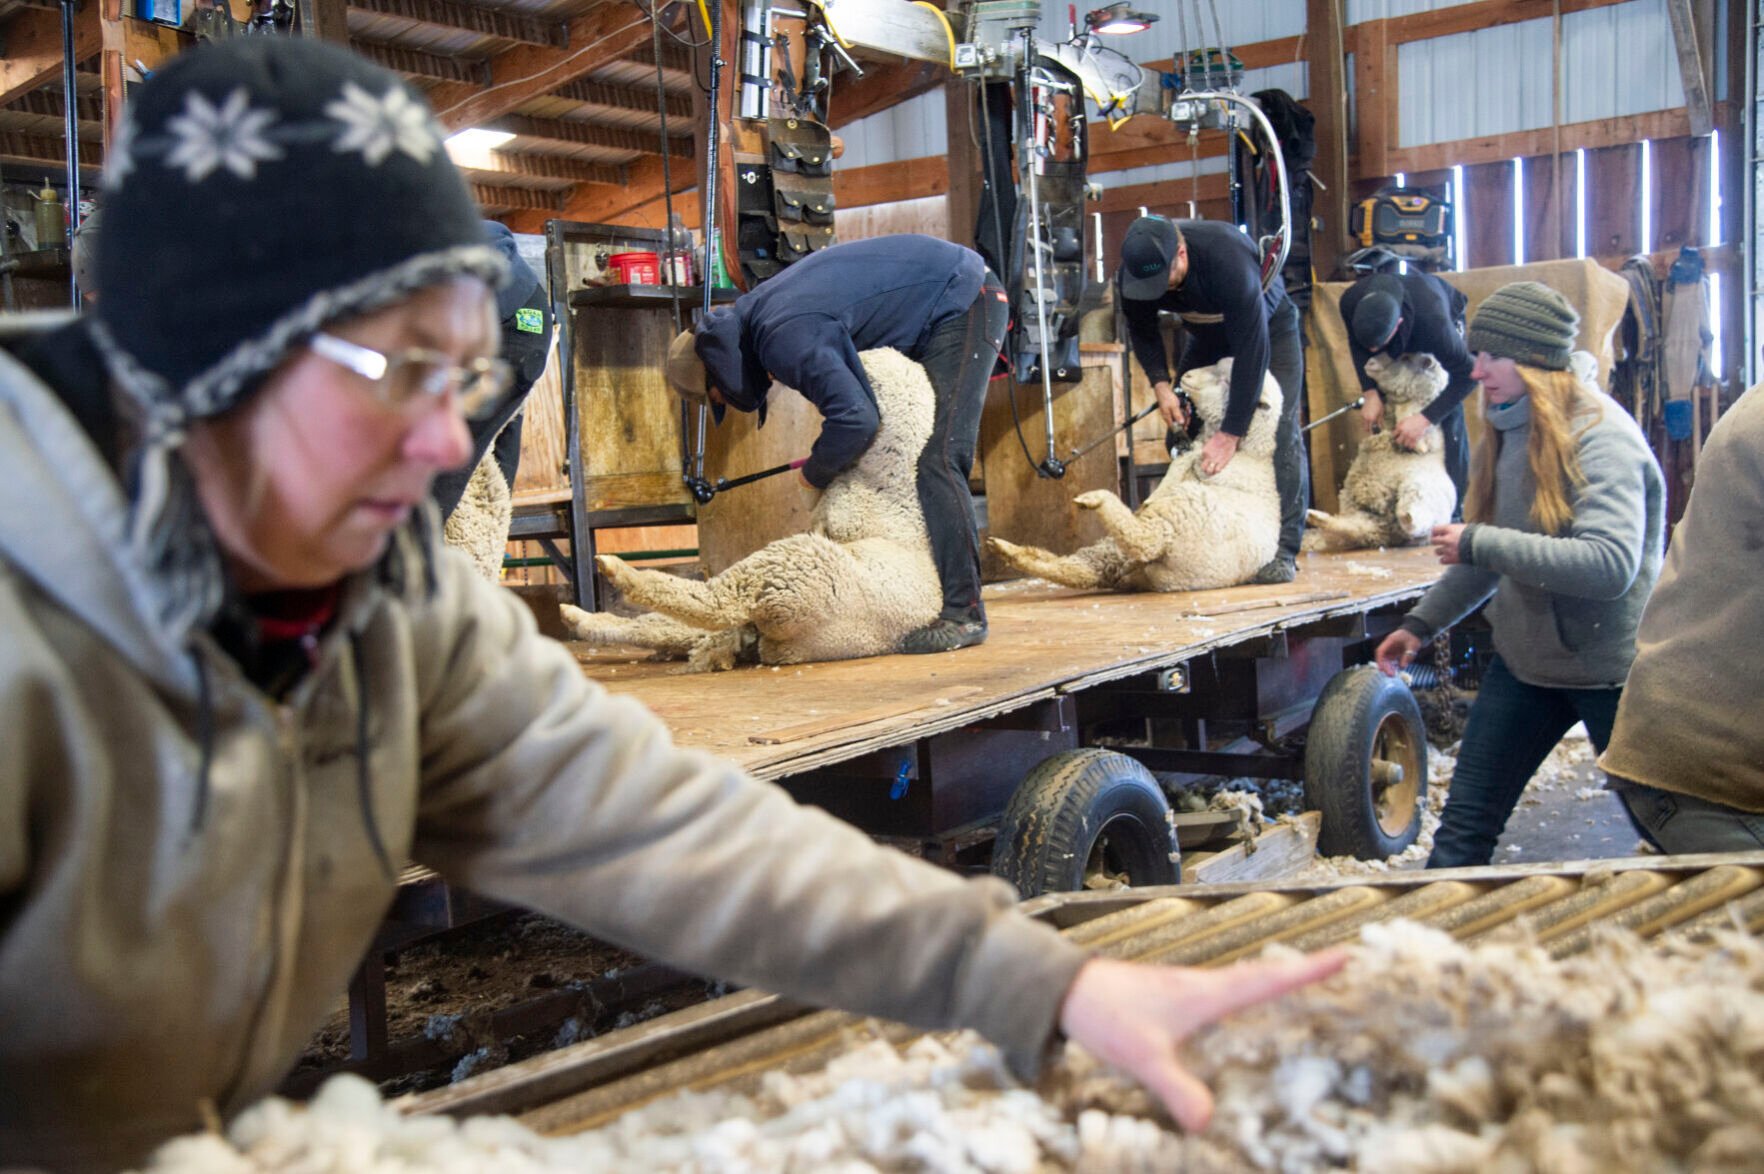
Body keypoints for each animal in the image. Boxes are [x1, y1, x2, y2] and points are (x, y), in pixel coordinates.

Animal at [557, 345, 945, 666]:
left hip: (796, 572)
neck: (895, 459)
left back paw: (617, 574)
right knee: (663, 628)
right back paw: (581, 617)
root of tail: (783, 643)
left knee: (713, 603)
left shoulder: (848, 510)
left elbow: (830, 517)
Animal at [987, 354, 1277, 595]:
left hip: (1180, 516)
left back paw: (1097, 499)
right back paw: (1007, 550)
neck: (1250, 453)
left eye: (1228, 379)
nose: (1186, 376)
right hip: (1122, 549)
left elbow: (1180, 467)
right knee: (1081, 569)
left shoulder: (1198, 463)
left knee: (1139, 540)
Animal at [1305, 349, 1453, 549]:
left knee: (1411, 514)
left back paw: (1406, 517)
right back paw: (1315, 517)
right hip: (1359, 509)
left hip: (1412, 494)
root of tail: (1390, 533)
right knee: (1355, 528)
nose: (1370, 361)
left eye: (1406, 357)